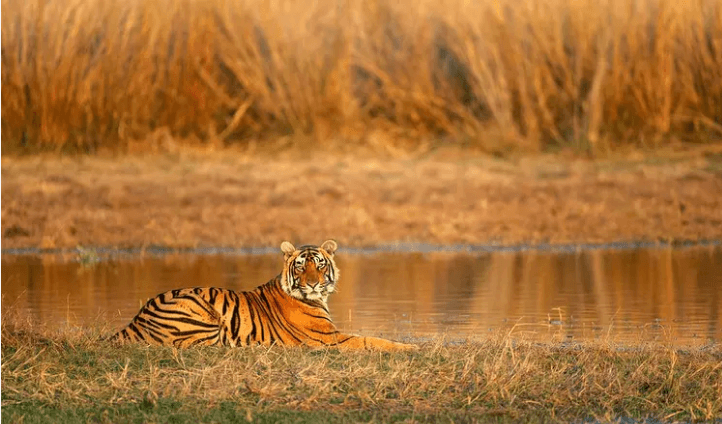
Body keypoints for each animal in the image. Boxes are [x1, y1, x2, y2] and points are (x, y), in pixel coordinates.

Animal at [104, 240, 414, 350]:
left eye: (320, 264)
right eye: (300, 266)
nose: (313, 284)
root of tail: (135, 320)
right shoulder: (329, 338)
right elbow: (372, 340)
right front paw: (412, 348)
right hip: (201, 312)